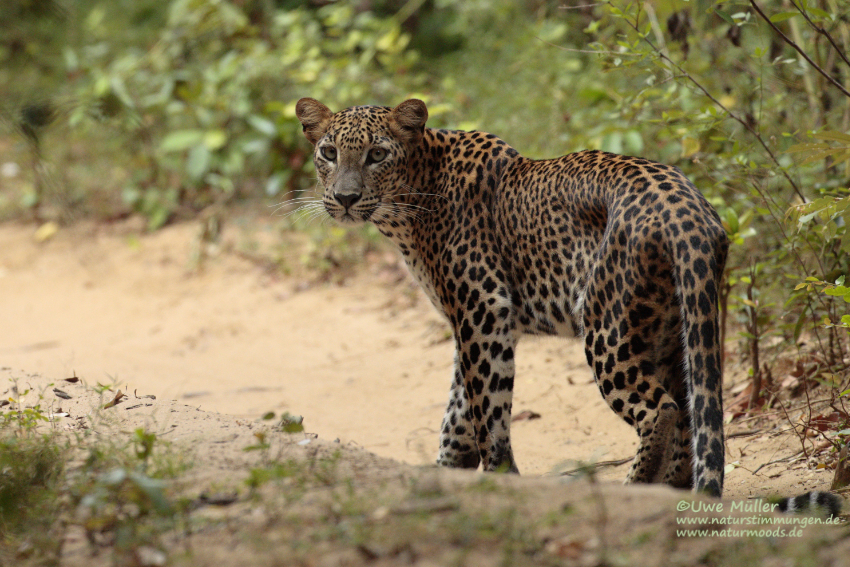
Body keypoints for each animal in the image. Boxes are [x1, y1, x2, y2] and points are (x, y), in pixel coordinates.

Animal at [295, 97, 726, 497]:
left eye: (377, 155)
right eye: (329, 153)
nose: (346, 197)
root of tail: (686, 211)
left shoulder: (482, 310)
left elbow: (486, 410)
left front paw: (501, 477)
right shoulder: (479, 323)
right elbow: (457, 413)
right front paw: (449, 471)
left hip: (608, 323)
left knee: (661, 410)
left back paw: (637, 487)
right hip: (676, 330)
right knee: (689, 412)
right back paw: (672, 489)